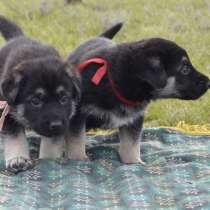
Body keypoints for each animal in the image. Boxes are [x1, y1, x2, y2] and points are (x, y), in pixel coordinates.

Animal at [0, 16, 80, 173]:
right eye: (35, 101)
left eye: (63, 99)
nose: (56, 125)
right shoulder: (7, 113)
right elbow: (15, 137)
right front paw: (18, 159)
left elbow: (51, 143)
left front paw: (48, 159)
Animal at [65, 23, 210, 164]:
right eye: (185, 69)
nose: (208, 83)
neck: (115, 80)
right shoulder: (78, 114)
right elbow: (76, 140)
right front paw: (79, 159)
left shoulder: (134, 119)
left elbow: (131, 144)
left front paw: (134, 163)